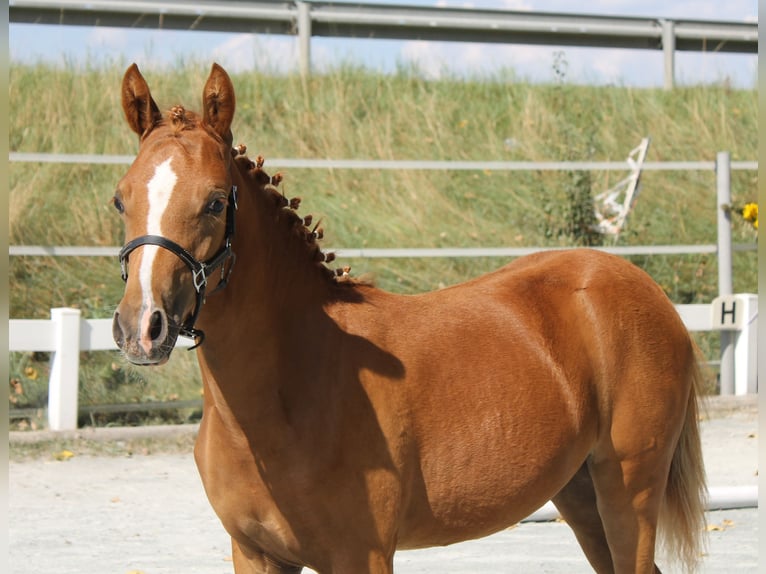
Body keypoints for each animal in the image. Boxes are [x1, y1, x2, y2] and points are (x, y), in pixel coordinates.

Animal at [111, 64, 704, 574]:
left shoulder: (364, 556)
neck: (288, 394)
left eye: (215, 202)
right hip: (580, 494)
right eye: (121, 199)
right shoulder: (255, 554)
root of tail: (646, 290)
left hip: (629, 490)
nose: (142, 328)